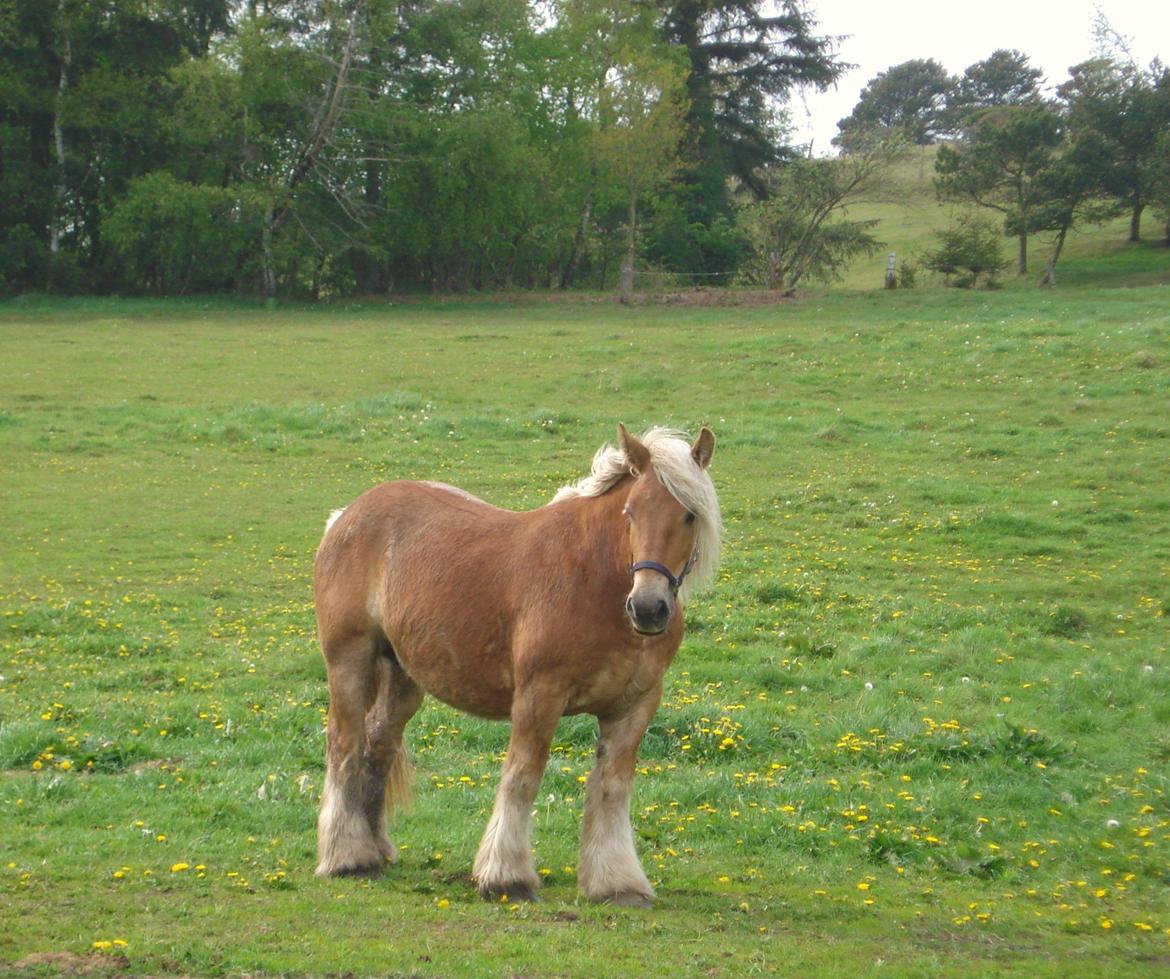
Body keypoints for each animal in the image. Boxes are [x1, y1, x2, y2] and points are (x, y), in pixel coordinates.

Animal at [311, 423, 716, 902]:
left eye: (688, 515)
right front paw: (506, 876)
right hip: (349, 661)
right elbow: (523, 777)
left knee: (378, 745)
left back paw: (375, 849)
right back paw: (348, 859)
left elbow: (613, 787)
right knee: (344, 745)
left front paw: (618, 883)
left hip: (403, 676)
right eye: (631, 512)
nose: (649, 608)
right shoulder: (540, 695)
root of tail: (345, 516)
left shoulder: (634, 705)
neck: (595, 580)